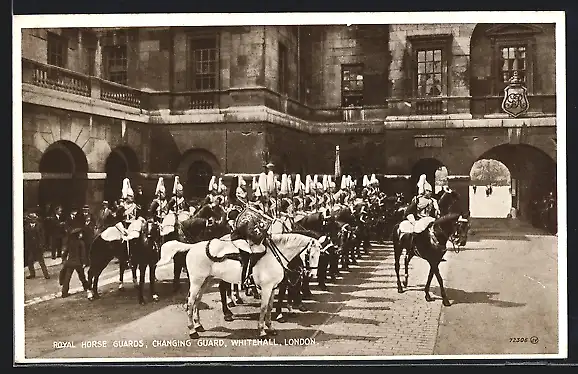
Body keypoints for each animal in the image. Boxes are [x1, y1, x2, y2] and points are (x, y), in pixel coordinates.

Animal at [158, 234, 320, 338]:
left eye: (320, 255)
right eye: (311, 255)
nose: (311, 275)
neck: (274, 256)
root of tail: (192, 247)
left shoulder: (273, 288)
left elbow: (269, 308)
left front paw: (270, 328)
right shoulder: (266, 288)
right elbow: (263, 308)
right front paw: (262, 331)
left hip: (205, 281)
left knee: (197, 301)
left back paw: (199, 326)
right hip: (197, 282)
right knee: (190, 303)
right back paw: (193, 331)